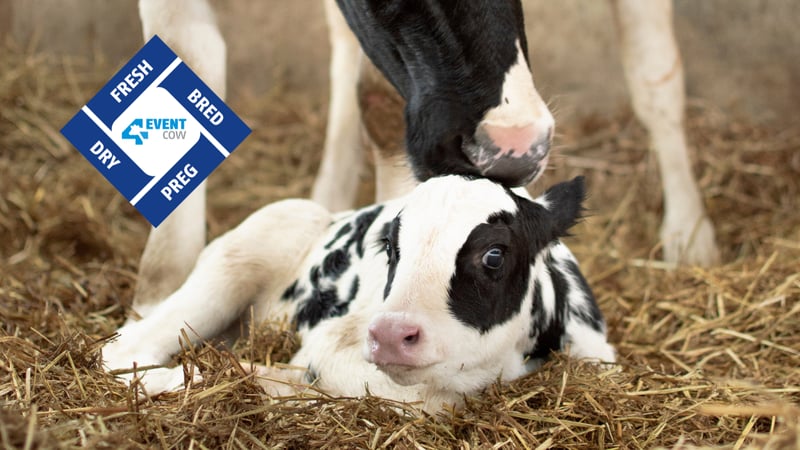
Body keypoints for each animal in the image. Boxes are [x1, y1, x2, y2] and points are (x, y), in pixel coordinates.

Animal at [102, 175, 616, 413]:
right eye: (390, 246)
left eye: (494, 255)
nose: (390, 335)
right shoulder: (331, 345)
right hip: (240, 256)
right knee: (124, 349)